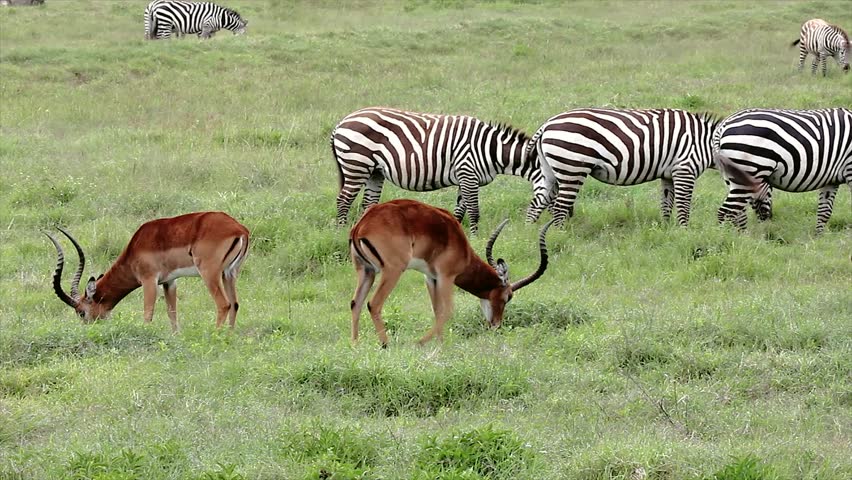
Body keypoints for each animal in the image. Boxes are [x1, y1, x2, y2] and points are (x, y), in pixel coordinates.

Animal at [45, 211, 250, 331]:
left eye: (81, 312)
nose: (88, 330)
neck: (135, 247)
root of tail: (239, 229)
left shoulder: (149, 280)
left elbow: (147, 314)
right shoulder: (169, 282)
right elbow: (172, 313)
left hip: (209, 274)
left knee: (224, 304)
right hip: (229, 274)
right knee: (235, 303)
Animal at [332, 107, 549, 234]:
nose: (528, 231)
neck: (490, 148)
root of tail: (341, 122)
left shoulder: (466, 178)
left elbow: (460, 210)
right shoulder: (468, 172)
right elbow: (474, 211)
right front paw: (475, 237)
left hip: (374, 172)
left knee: (368, 203)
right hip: (356, 164)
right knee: (344, 200)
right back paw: (341, 232)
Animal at [349, 199, 554, 347]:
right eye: (507, 297)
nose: (496, 325)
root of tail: (361, 225)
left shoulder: (430, 277)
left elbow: (437, 310)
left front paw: (440, 344)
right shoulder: (446, 276)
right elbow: (447, 311)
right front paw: (421, 342)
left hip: (366, 271)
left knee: (355, 303)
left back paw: (355, 345)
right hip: (392, 271)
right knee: (373, 304)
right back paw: (385, 344)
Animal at [526, 108, 721, 227]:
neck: (705, 142)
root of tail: (546, 125)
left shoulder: (668, 175)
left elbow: (667, 204)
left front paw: (666, 230)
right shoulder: (685, 169)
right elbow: (683, 206)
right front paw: (683, 232)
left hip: (550, 172)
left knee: (536, 204)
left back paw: (530, 236)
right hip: (572, 169)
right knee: (560, 208)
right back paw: (562, 236)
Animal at [715, 108, 852, 233]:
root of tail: (724, 125)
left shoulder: (831, 181)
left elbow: (824, 212)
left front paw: (818, 239)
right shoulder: (850, 170)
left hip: (735, 178)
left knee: (738, 213)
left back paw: (742, 238)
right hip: (749, 171)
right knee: (726, 212)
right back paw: (726, 239)